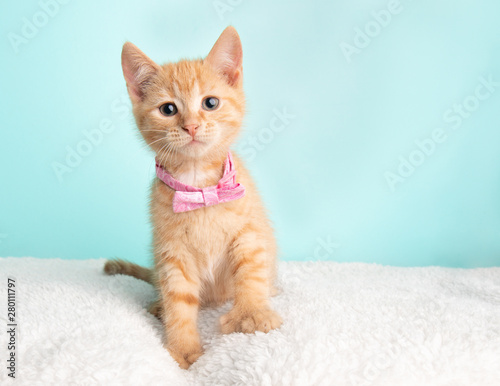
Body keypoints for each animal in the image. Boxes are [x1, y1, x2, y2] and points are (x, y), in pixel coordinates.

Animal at [102, 25, 282, 370]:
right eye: (168, 109)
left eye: (210, 103)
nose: (192, 126)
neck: (200, 188)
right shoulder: (173, 253)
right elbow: (179, 299)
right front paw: (182, 351)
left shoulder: (249, 231)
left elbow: (251, 271)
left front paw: (252, 313)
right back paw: (158, 306)